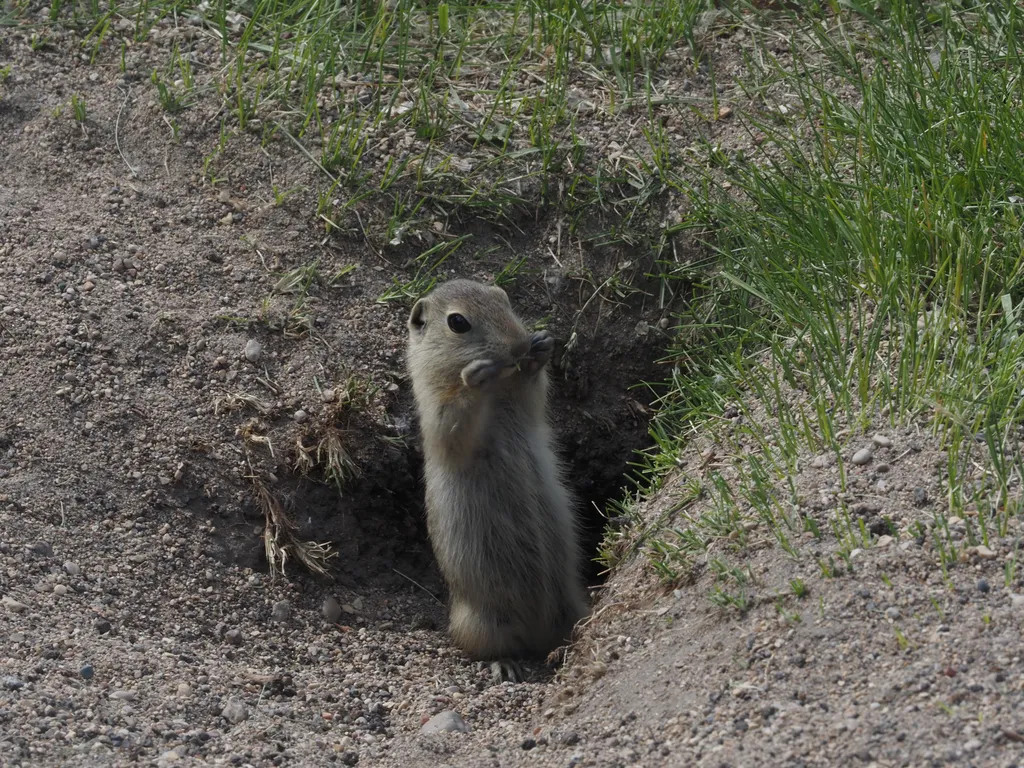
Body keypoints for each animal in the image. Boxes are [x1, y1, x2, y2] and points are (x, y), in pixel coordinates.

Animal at [406, 279, 589, 681]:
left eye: (503, 299)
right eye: (457, 322)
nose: (518, 344)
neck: (498, 395)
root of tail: (538, 636)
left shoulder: (523, 401)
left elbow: (534, 394)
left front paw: (540, 348)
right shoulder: (437, 410)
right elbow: (454, 423)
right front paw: (476, 376)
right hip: (482, 622)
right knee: (481, 648)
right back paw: (506, 666)